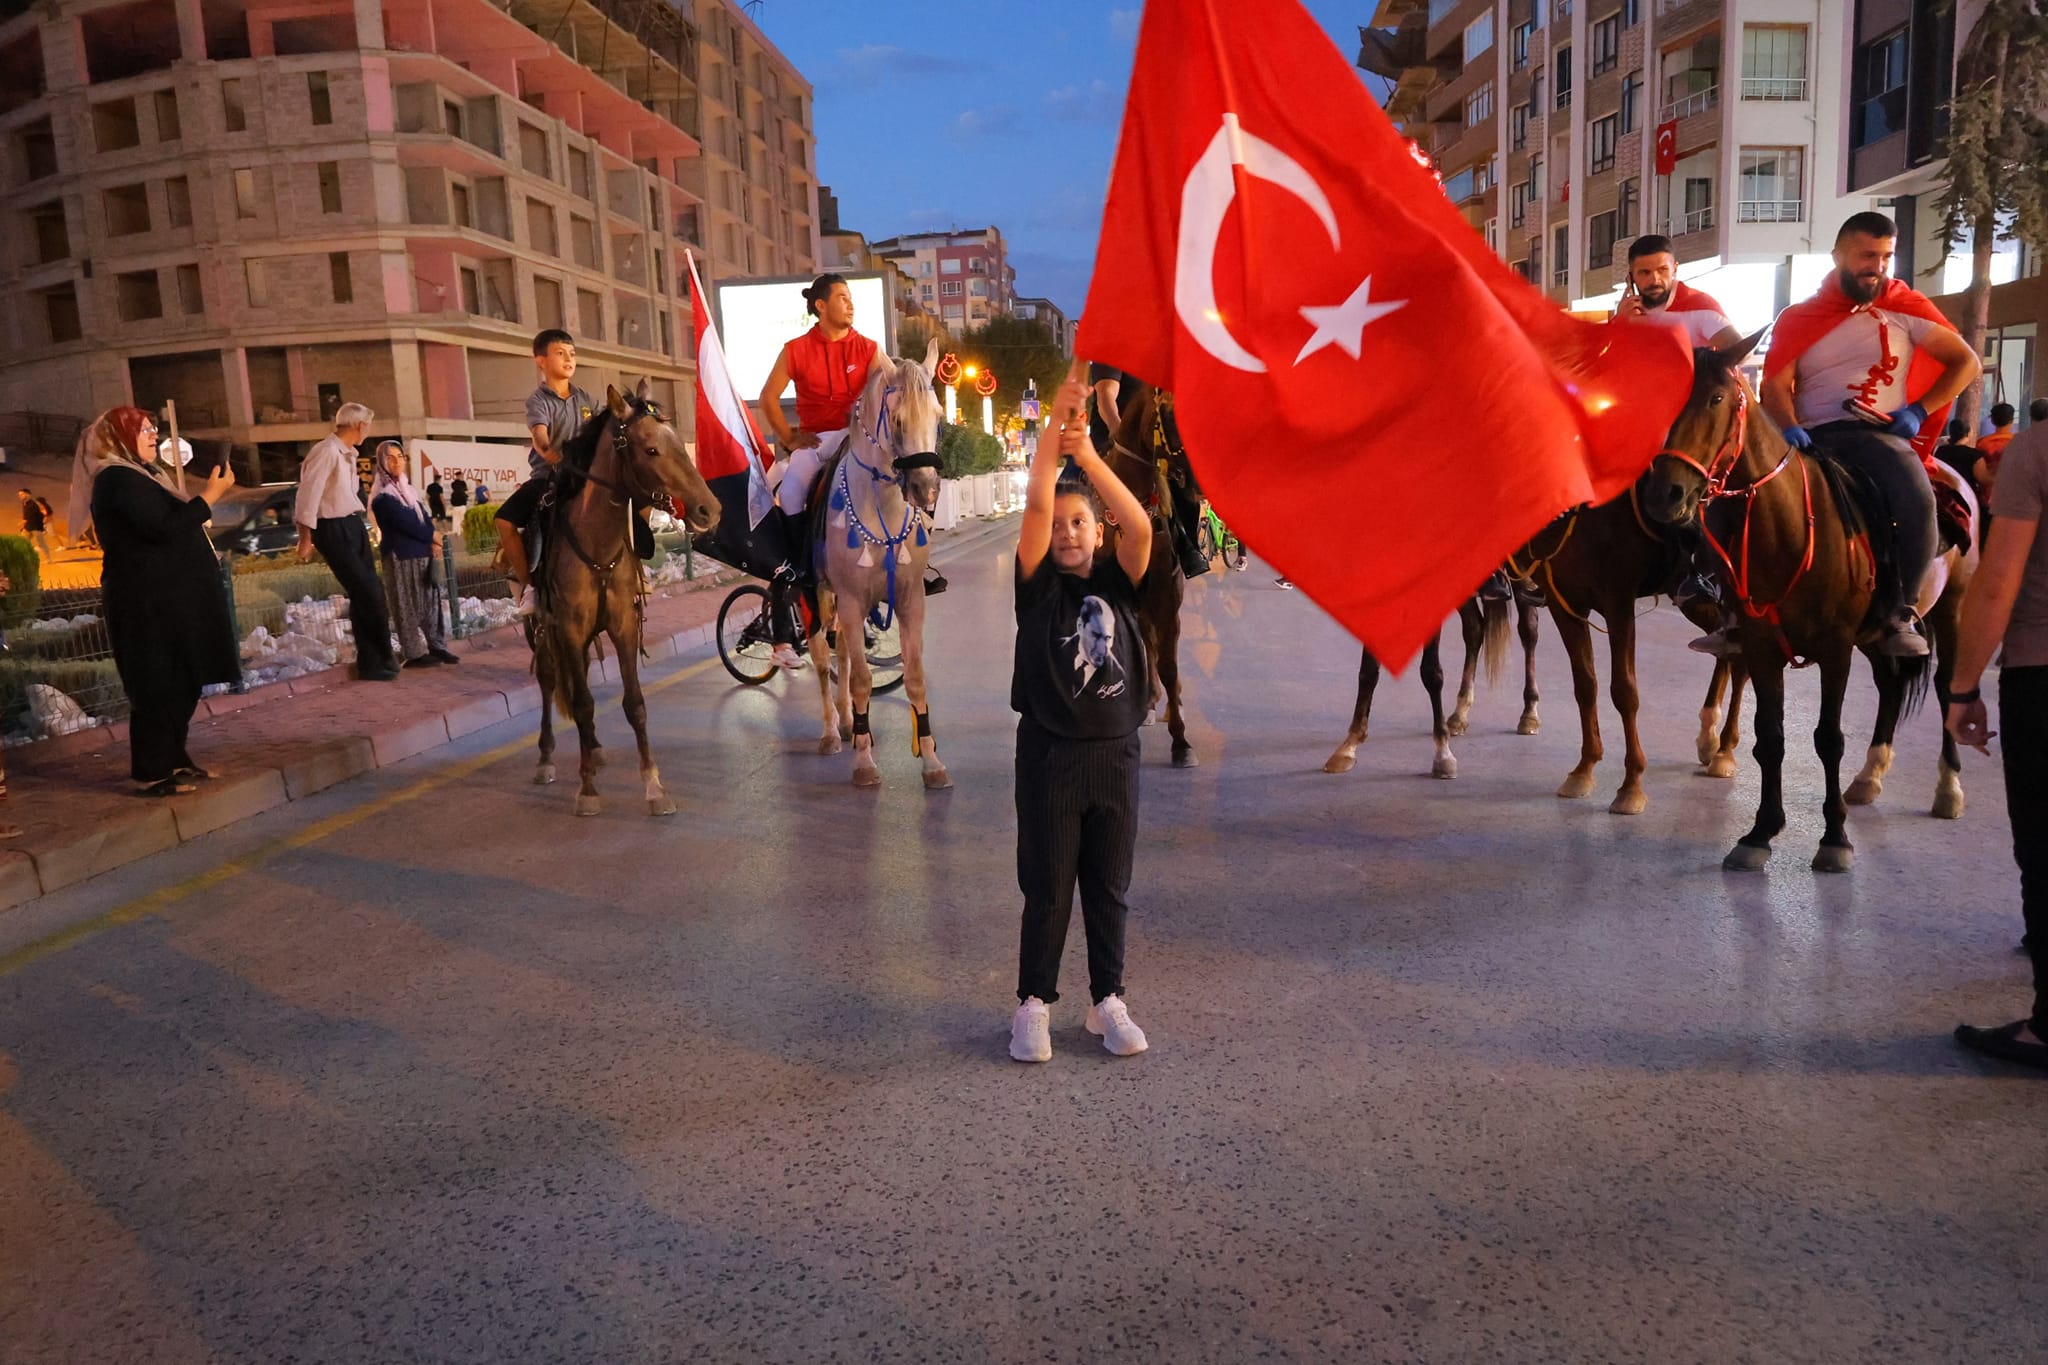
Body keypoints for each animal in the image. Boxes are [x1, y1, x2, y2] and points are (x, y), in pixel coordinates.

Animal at [532, 378, 724, 818]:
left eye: (679, 442)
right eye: (651, 449)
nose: (710, 509)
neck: (596, 543)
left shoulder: (622, 623)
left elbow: (634, 703)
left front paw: (654, 786)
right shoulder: (568, 627)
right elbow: (583, 704)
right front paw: (587, 789)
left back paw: (595, 748)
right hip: (544, 624)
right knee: (549, 679)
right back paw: (547, 757)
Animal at [806, 339, 950, 789]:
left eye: (938, 417)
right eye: (899, 420)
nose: (926, 489)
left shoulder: (909, 598)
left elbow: (915, 678)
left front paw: (932, 762)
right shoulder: (851, 600)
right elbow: (862, 681)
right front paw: (865, 762)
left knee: (842, 656)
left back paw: (849, 726)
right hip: (816, 596)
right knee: (824, 661)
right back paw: (831, 732)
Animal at [1318, 589, 1531, 777]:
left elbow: (1430, 672)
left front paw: (1443, 754)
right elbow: (1368, 672)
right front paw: (1349, 746)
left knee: (1529, 629)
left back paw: (1529, 714)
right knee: (1474, 628)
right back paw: (1460, 714)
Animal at [1638, 331, 1925, 871]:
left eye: (1716, 399)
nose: (1664, 494)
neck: (1787, 531)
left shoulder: (1836, 648)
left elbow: (1828, 739)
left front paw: (1834, 837)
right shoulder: (1759, 642)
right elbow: (1769, 736)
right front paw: (1760, 831)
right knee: (1889, 681)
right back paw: (1870, 776)